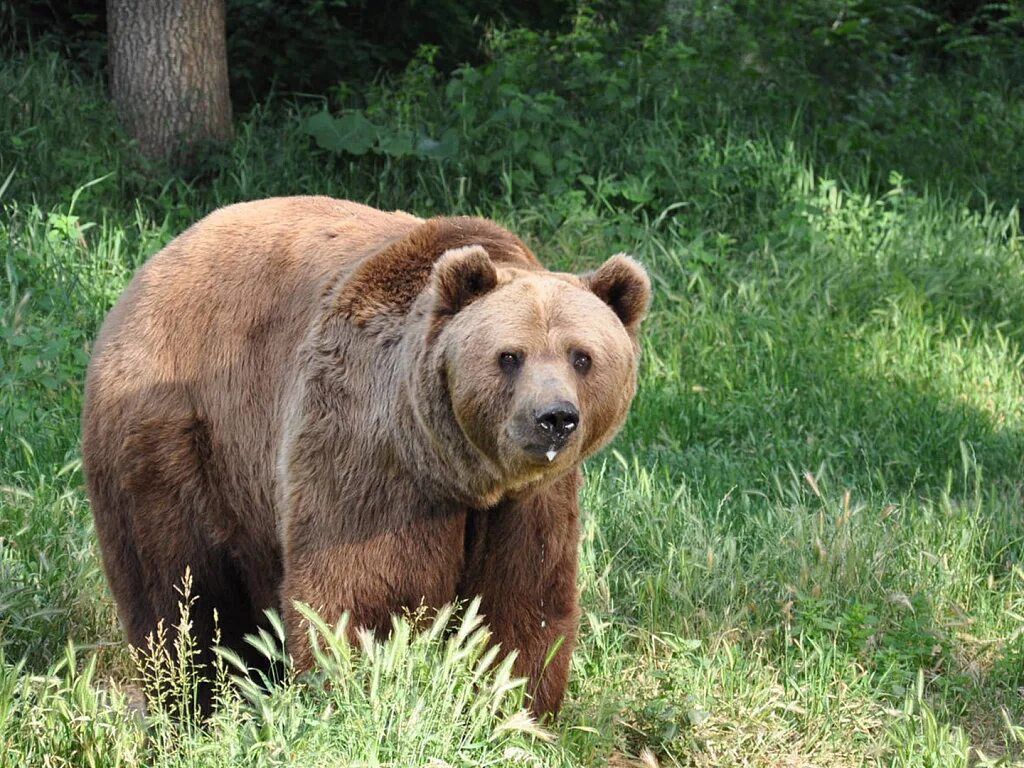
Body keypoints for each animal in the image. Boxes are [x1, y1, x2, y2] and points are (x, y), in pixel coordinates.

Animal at [83, 196, 651, 716]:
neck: (460, 472)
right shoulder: (367, 451)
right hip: (178, 437)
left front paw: (512, 708)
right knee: (180, 592)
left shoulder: (531, 502)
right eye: (509, 356)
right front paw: (354, 693)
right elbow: (359, 599)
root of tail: (156, 263)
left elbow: (520, 609)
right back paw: (190, 702)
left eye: (582, 356)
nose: (554, 418)